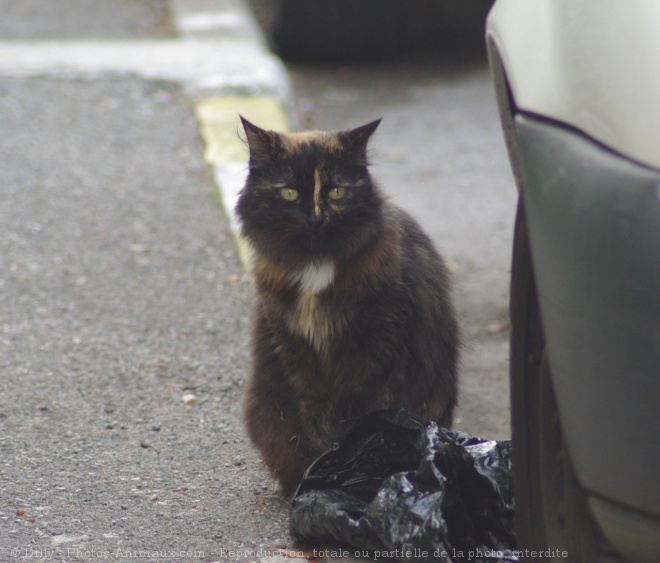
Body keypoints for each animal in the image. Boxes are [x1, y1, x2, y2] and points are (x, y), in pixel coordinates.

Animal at [236, 117, 458, 496]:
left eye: (336, 192)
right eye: (289, 193)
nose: (315, 218)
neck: (316, 266)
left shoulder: (381, 349)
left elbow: (371, 416)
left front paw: (351, 465)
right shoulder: (298, 353)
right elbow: (315, 423)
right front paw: (324, 470)